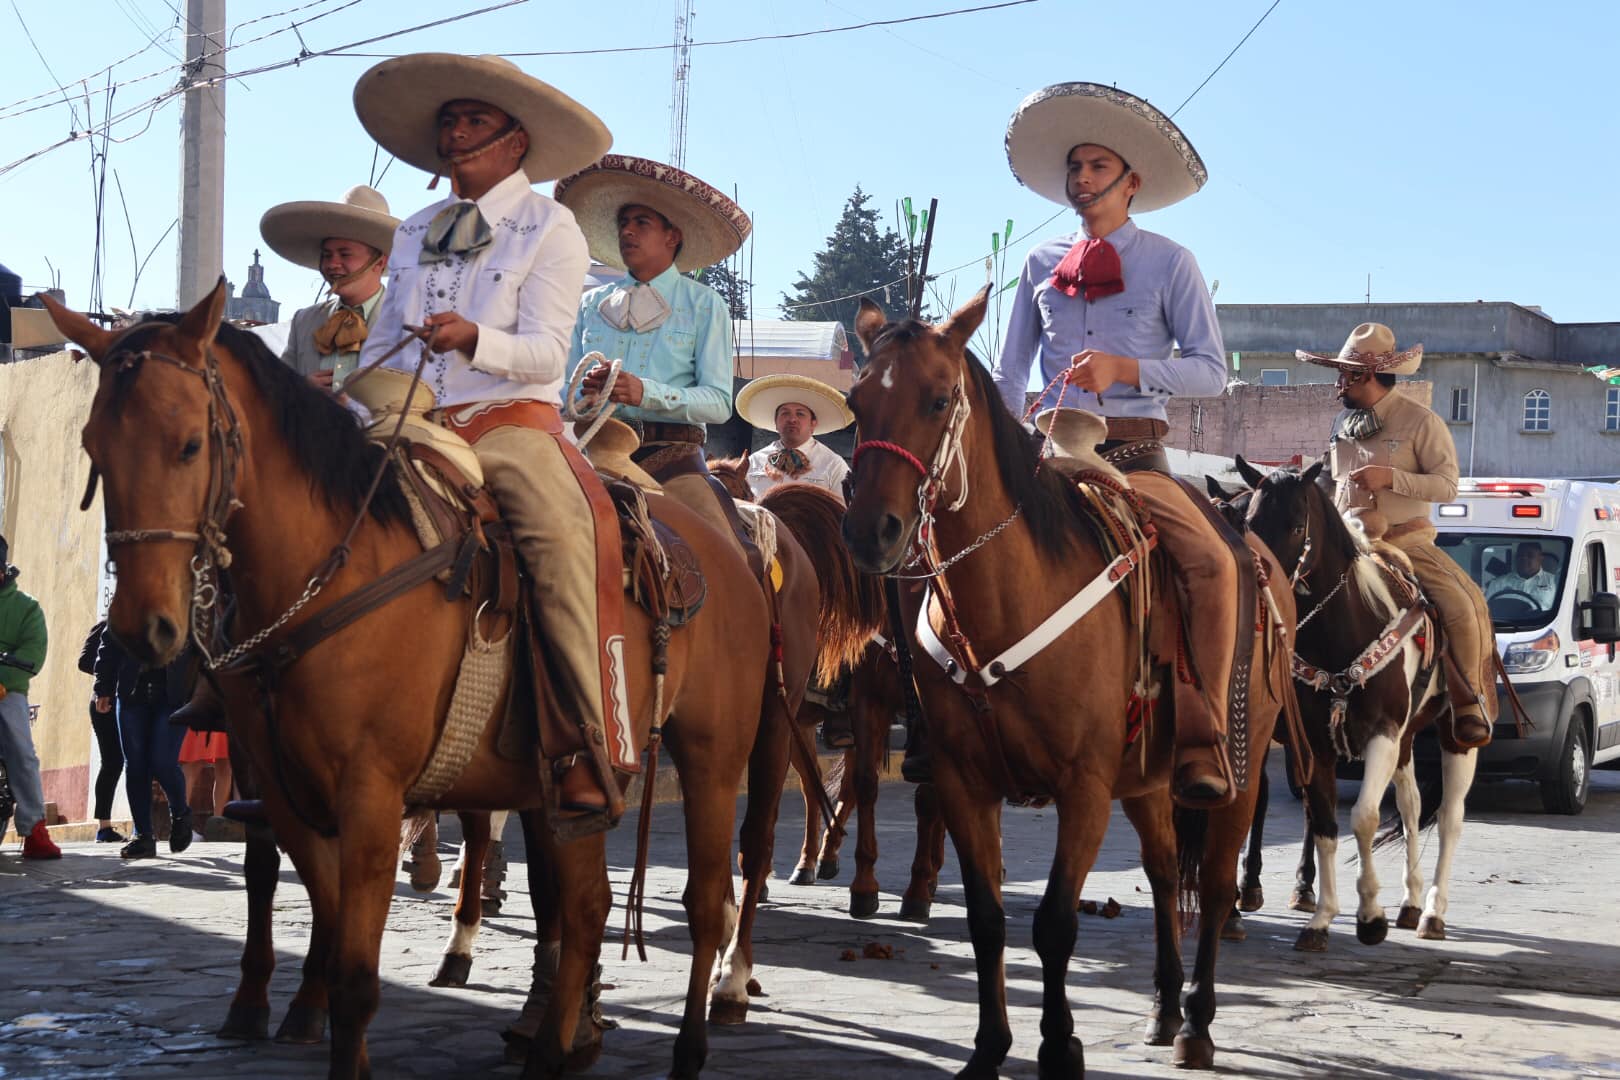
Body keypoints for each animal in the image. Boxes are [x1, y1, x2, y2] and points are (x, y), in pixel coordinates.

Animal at [41, 284, 822, 1080]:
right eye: (92, 449)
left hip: (719, 752)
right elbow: (323, 923)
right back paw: (553, 1046)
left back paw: (702, 1027)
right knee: (587, 905)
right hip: (572, 779)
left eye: (190, 445)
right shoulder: (290, 796)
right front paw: (291, 1008)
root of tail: (724, 550)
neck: (336, 568)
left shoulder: (371, 794)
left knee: (713, 888)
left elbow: (357, 973)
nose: (142, 630)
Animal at [842, 289, 1296, 1080]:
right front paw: (989, 1047)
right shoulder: (965, 782)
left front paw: (1060, 1045)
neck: (1009, 597)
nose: (872, 532)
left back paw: (1197, 1022)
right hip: (1147, 780)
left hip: (1241, 763)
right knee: (1164, 866)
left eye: (938, 399)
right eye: (855, 400)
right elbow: (988, 920)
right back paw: (1163, 1007)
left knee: (1211, 883)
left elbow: (1054, 922)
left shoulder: (1082, 787)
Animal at [1231, 459, 1477, 952]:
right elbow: (1325, 823)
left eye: (1296, 525)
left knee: (1449, 818)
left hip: (1455, 735)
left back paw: (1433, 913)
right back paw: (1411, 901)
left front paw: (1369, 917)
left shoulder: (1381, 733)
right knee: (1411, 805)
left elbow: (1362, 818)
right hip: (1406, 740)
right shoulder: (1315, 743)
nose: (1262, 584)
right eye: (1248, 521)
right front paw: (1321, 918)